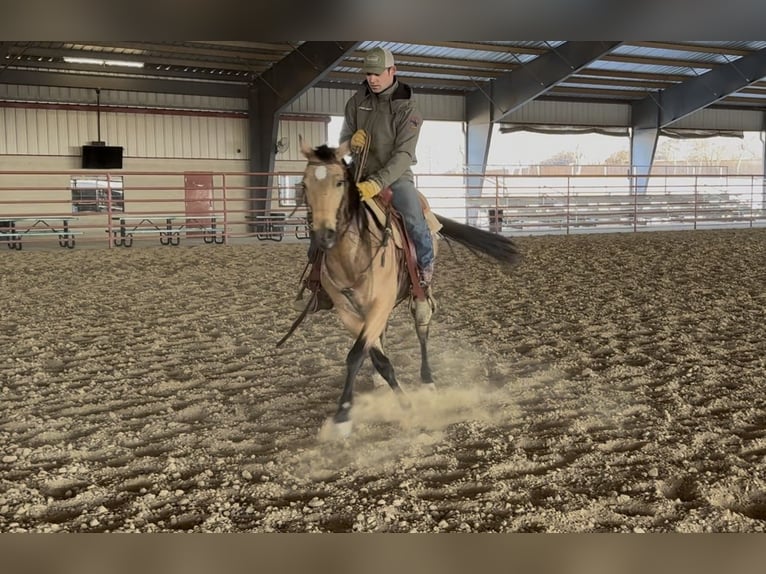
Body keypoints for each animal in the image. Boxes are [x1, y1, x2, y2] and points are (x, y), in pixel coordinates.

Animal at [295, 136, 521, 436]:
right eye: (304, 184)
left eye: (339, 182)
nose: (323, 236)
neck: (352, 256)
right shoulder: (348, 312)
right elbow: (376, 358)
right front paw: (395, 398)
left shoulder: (380, 303)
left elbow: (355, 356)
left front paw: (344, 417)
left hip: (420, 292)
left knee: (422, 327)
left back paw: (428, 381)